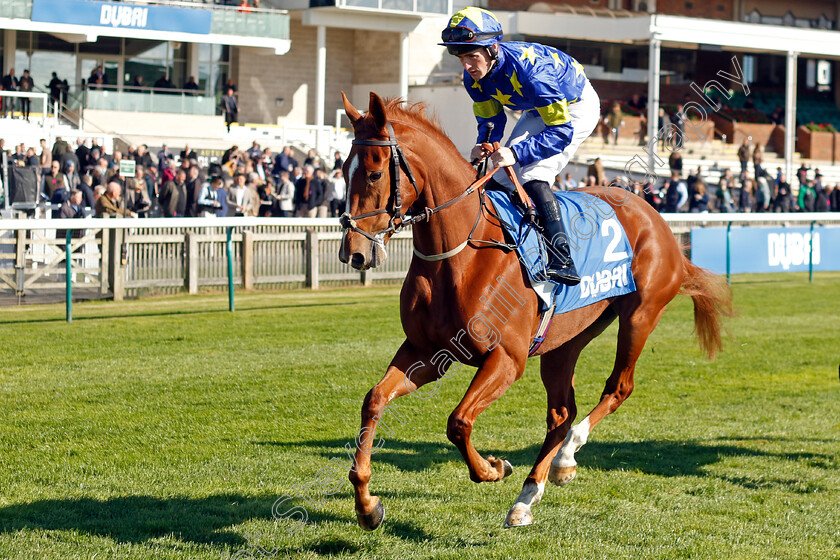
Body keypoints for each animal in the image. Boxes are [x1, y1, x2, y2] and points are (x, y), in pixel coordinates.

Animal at [338, 92, 732, 528]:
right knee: (561, 412)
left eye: (374, 174)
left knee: (617, 388)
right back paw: (529, 495)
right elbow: (374, 400)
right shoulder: (426, 352)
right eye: (342, 170)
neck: (462, 253)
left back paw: (565, 459)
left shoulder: (507, 359)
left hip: (640, 316)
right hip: (565, 340)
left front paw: (494, 468)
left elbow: (458, 422)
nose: (353, 252)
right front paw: (367, 504)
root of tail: (656, 219)